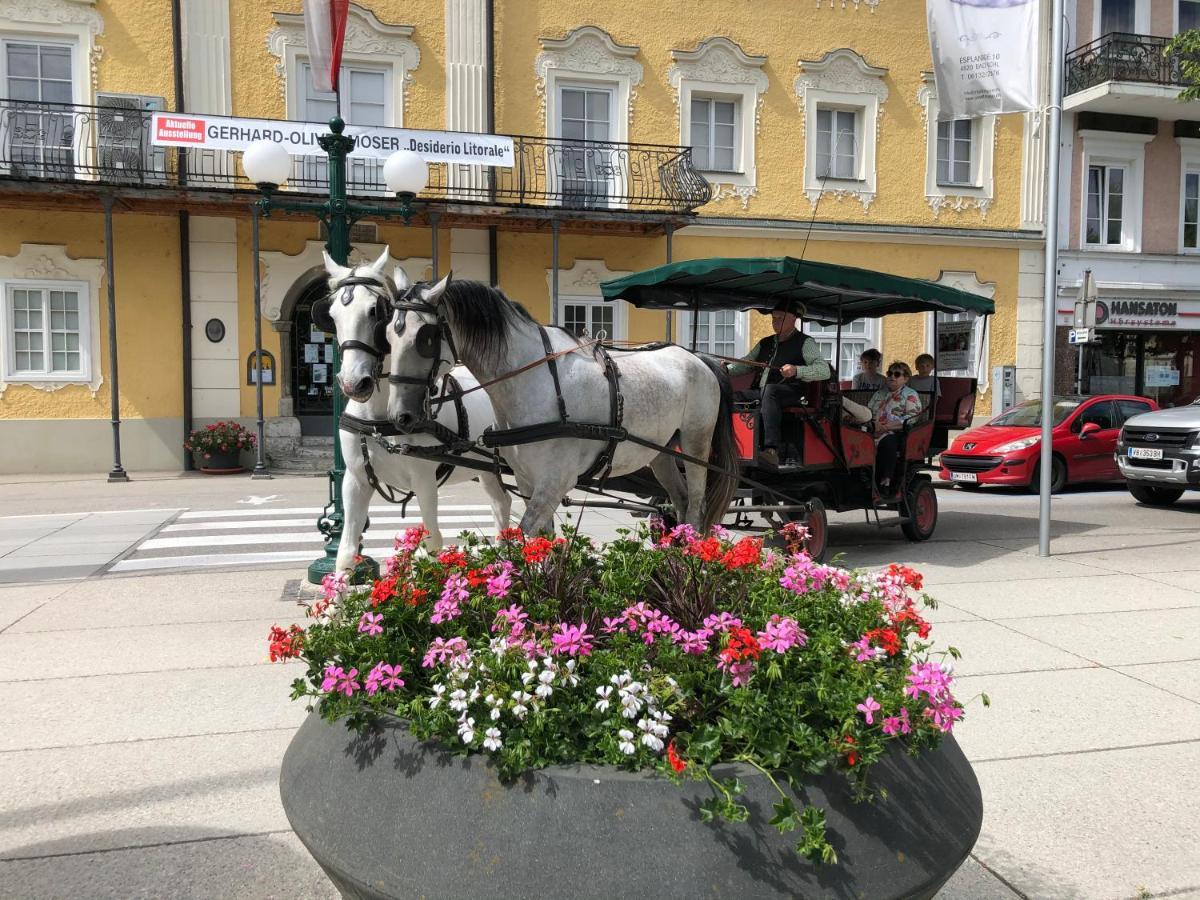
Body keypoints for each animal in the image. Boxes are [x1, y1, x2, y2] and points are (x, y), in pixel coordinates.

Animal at [316, 248, 508, 571]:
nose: (354, 383)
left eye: (376, 311)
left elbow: (433, 543)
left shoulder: (424, 482)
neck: (380, 419)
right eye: (332, 316)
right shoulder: (355, 481)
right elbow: (346, 551)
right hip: (490, 473)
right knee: (501, 508)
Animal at [384, 271, 739, 540]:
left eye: (425, 338)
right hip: (662, 453)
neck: (535, 380)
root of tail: (699, 358)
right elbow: (545, 545)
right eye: (388, 334)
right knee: (679, 502)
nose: (401, 416)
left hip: (695, 447)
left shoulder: (554, 484)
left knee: (695, 508)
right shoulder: (528, 481)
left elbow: (524, 540)